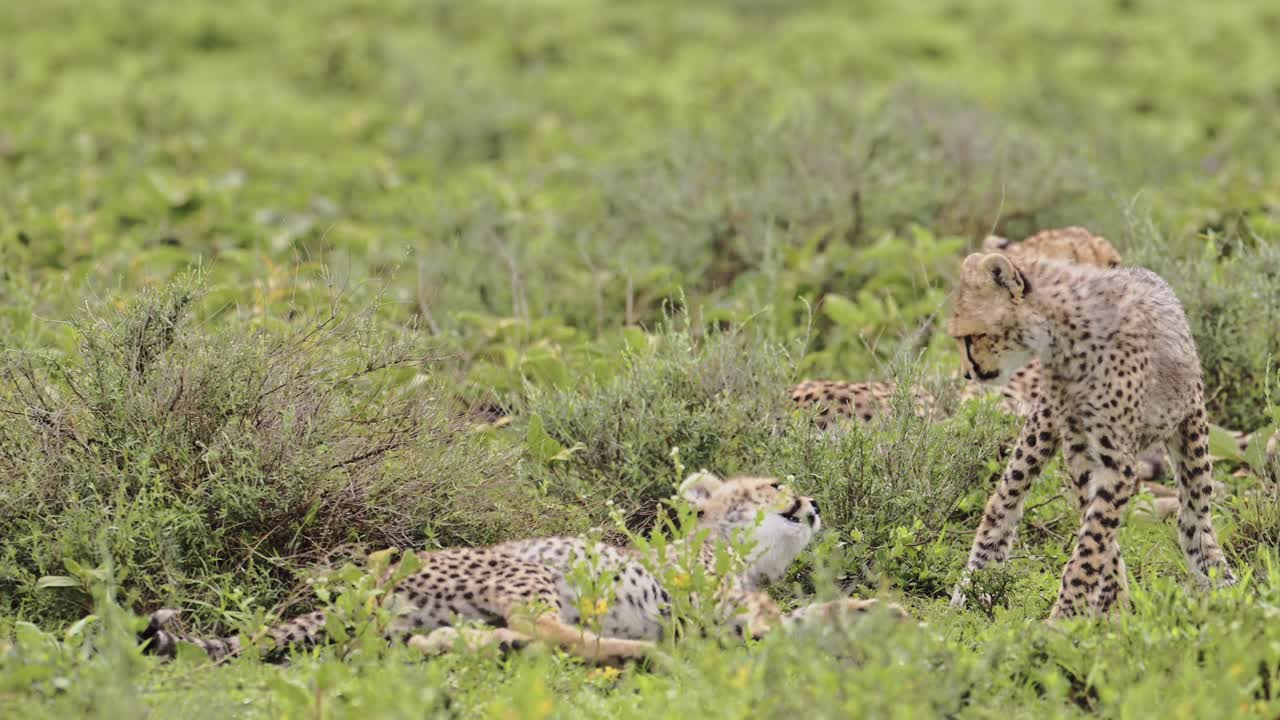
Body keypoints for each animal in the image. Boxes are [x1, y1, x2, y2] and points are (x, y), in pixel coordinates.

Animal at [140, 472, 907, 665]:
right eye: (775, 484)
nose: (812, 501)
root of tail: (368, 585)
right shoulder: (718, 607)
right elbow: (777, 626)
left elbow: (811, 617)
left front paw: (881, 611)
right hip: (528, 571)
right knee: (556, 631)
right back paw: (633, 650)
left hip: (441, 618)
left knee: (464, 639)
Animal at [946, 249, 1235, 619]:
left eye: (971, 337)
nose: (969, 374)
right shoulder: (1082, 452)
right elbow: (1097, 535)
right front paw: (1101, 602)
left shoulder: (1116, 460)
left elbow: (1094, 539)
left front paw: (1067, 612)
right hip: (1041, 430)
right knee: (1004, 499)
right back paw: (974, 585)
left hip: (1190, 425)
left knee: (1193, 515)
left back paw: (1218, 578)